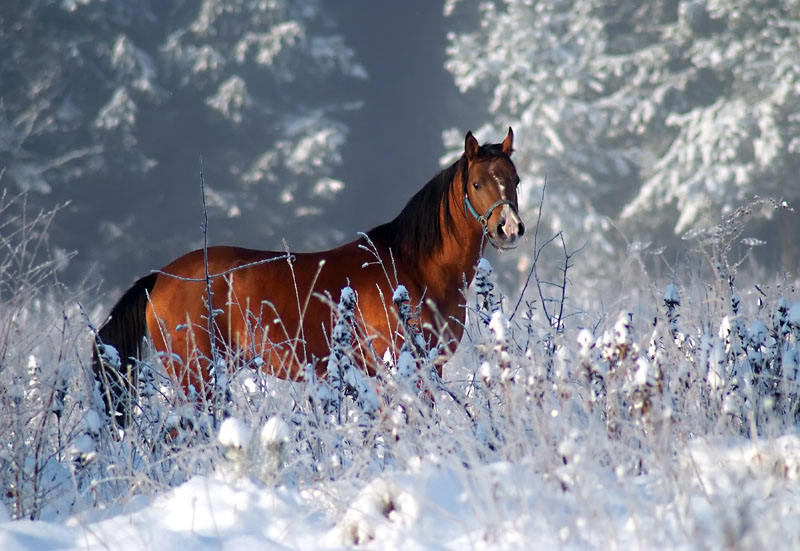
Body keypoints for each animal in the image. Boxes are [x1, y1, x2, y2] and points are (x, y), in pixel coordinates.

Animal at [92, 127, 524, 424]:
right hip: (194, 378)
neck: (414, 268)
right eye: (477, 183)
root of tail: (159, 278)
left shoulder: (428, 368)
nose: (509, 228)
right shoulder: (397, 370)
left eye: (515, 180)